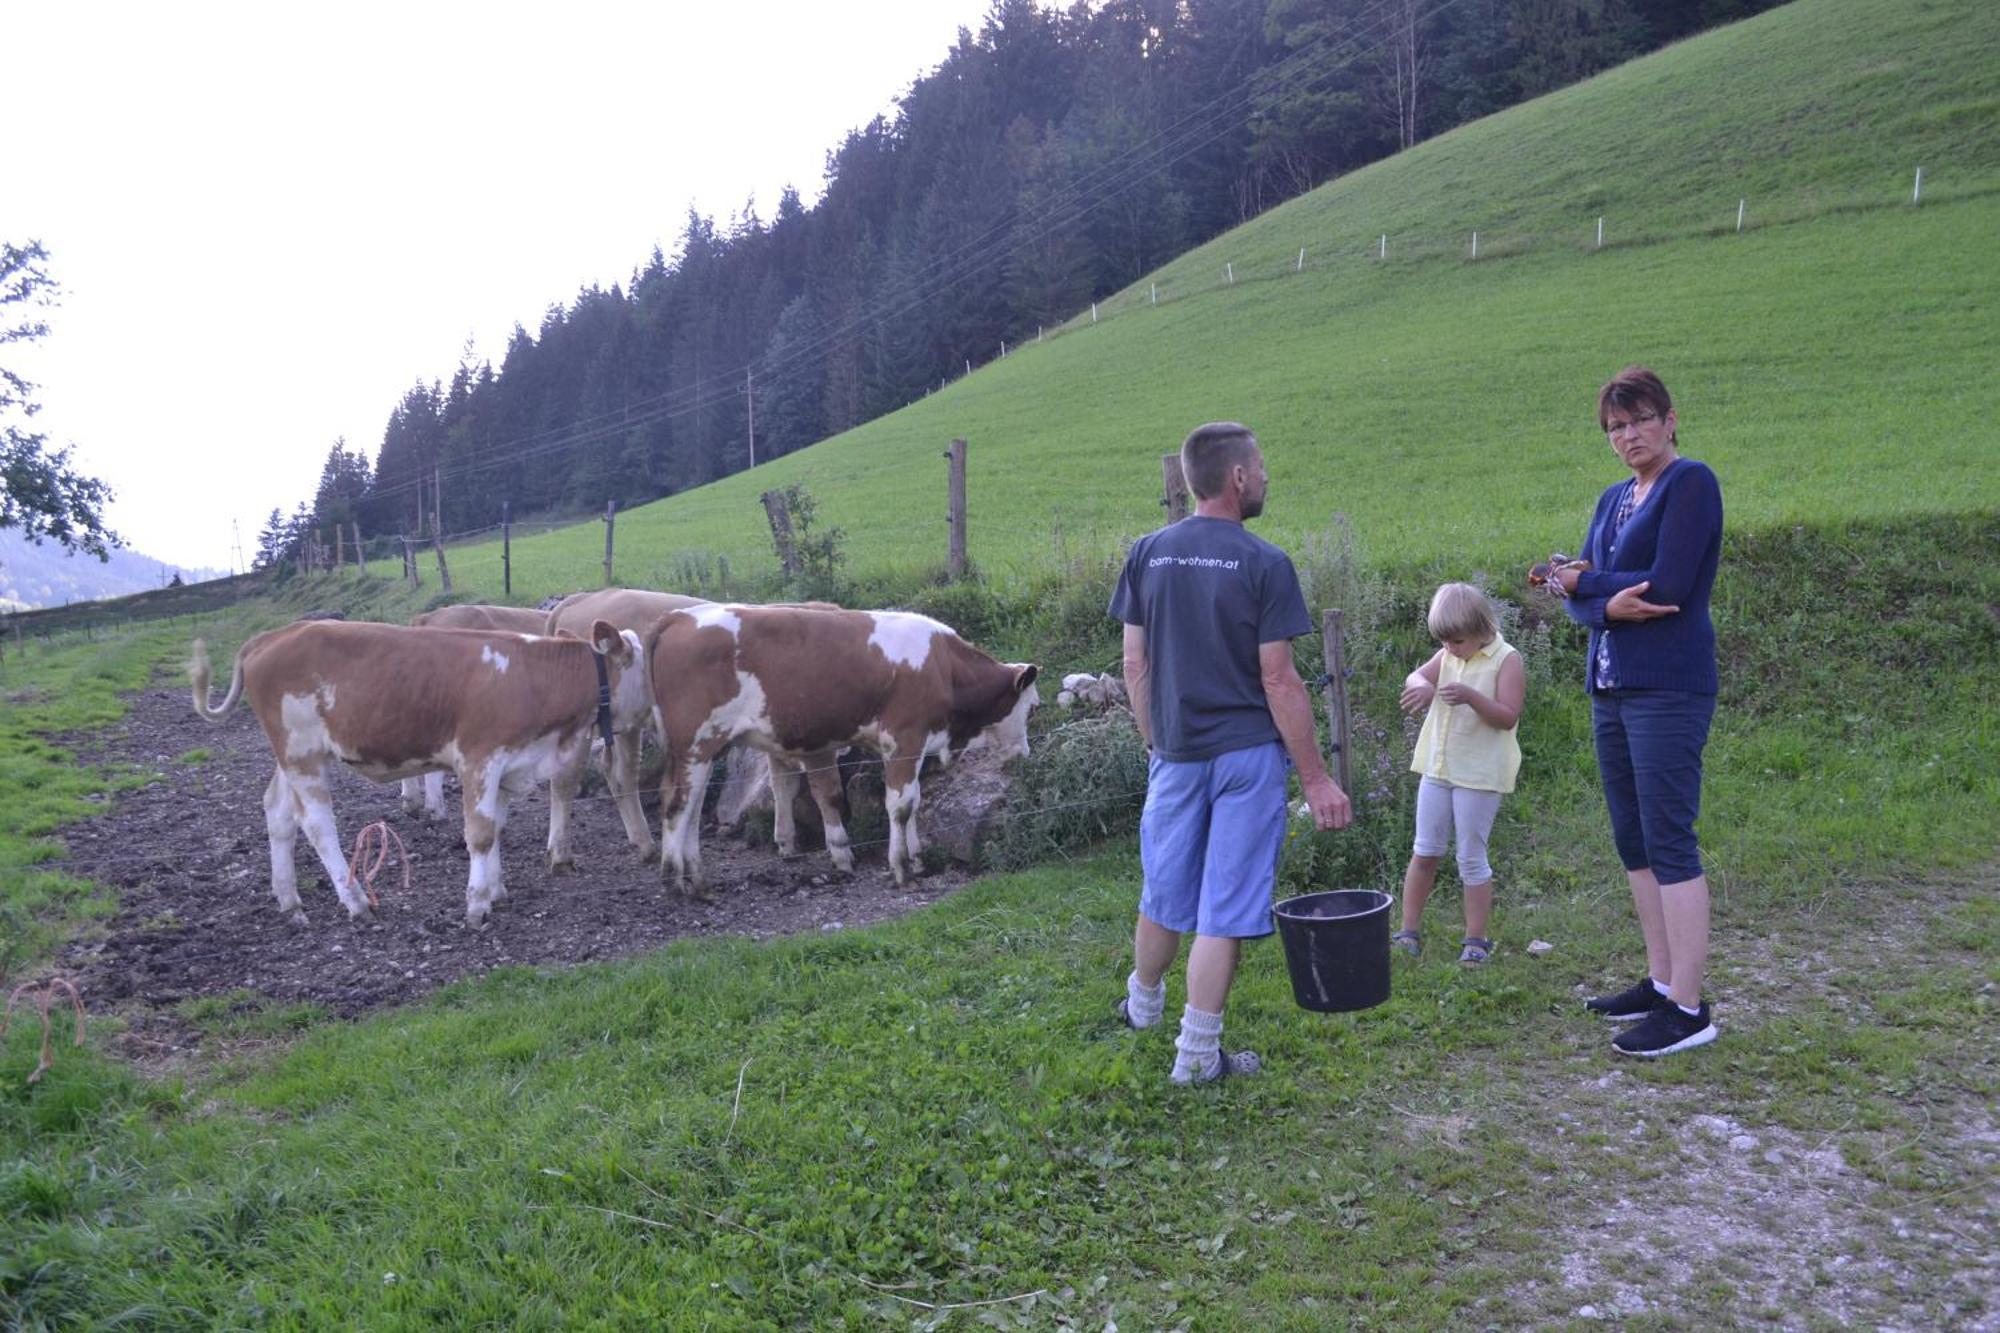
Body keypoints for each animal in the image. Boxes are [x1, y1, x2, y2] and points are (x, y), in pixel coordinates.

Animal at [644, 604, 1048, 892]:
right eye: (1033, 708)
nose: (1025, 757)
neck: (942, 666)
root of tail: (679, 617)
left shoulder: (916, 745)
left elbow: (915, 801)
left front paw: (917, 858)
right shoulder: (903, 739)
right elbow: (901, 805)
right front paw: (901, 868)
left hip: (702, 749)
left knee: (693, 806)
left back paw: (696, 876)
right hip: (695, 744)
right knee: (678, 803)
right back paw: (675, 879)